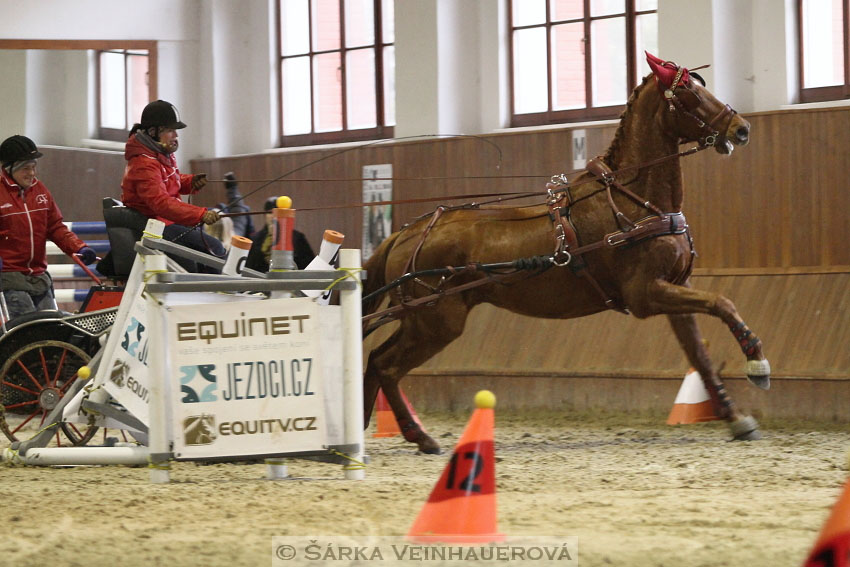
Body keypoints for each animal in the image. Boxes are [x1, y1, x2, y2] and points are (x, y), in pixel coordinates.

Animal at [362, 53, 764, 452]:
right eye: (688, 93)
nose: (741, 129)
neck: (633, 200)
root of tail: (406, 233)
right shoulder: (646, 294)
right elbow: (723, 302)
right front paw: (756, 360)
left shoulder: (676, 288)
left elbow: (700, 353)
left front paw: (737, 418)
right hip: (436, 322)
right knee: (387, 366)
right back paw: (417, 436)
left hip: (419, 320)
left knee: (375, 361)